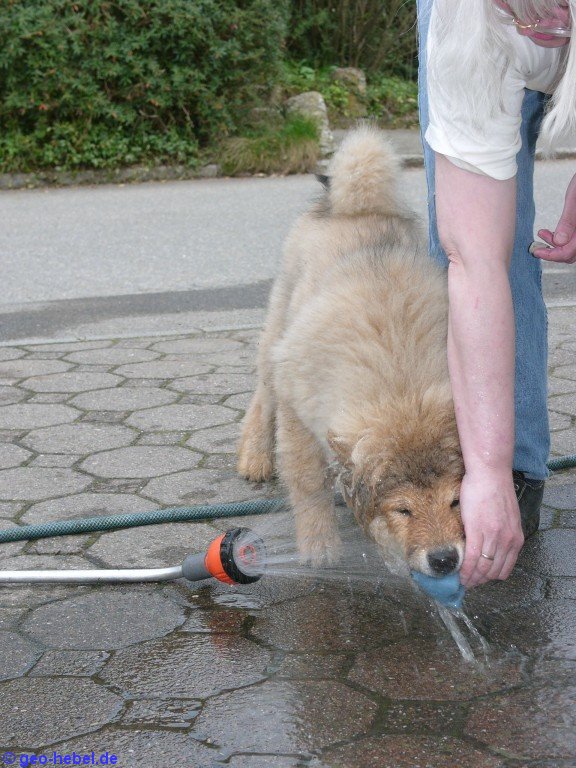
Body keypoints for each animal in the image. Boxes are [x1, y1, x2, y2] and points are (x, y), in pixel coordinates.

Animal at [237, 126, 465, 577]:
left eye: (455, 501)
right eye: (402, 510)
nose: (445, 560)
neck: (400, 384)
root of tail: (349, 206)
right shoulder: (300, 415)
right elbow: (308, 483)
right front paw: (318, 546)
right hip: (279, 332)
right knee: (262, 395)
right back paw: (254, 457)